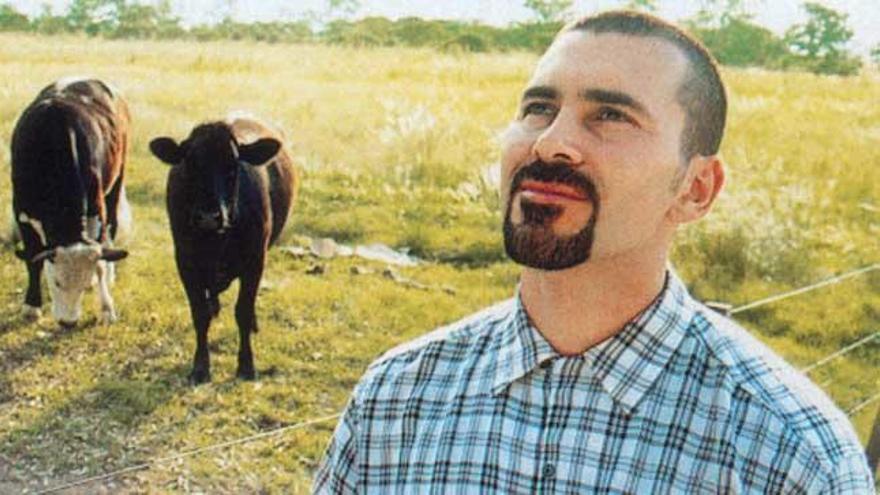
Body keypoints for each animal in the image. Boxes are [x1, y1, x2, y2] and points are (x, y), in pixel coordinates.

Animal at [12, 77, 130, 328]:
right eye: (56, 282)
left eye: (84, 286)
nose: (68, 323)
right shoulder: (21, 210)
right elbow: (33, 259)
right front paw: (31, 306)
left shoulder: (97, 208)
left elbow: (100, 262)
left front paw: (106, 308)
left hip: (116, 181)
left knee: (112, 228)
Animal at [150, 115, 298, 384]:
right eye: (190, 164)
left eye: (232, 167)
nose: (209, 217)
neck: (216, 242)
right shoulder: (185, 262)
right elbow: (199, 314)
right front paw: (200, 367)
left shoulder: (255, 260)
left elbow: (243, 311)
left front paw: (246, 365)